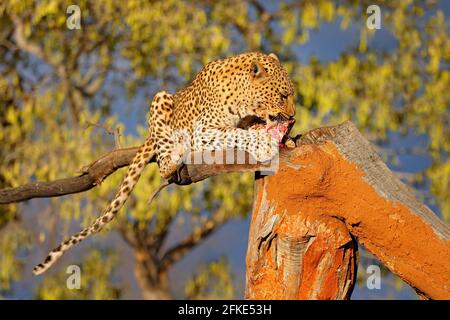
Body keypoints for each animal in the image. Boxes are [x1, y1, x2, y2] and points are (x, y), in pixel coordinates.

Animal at [33, 52, 298, 276]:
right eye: (283, 95)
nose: (294, 115)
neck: (242, 100)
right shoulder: (203, 132)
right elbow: (235, 134)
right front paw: (263, 143)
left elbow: (248, 128)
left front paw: (285, 138)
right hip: (160, 98)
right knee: (163, 162)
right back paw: (175, 156)